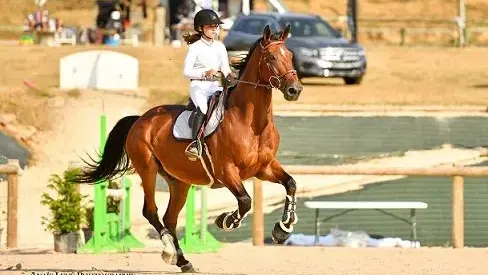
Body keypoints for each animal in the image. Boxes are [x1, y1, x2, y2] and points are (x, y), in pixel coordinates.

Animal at [74, 25, 304, 274]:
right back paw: (169, 251)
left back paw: (184, 261)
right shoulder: (227, 171)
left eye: (290, 55)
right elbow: (245, 201)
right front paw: (226, 220)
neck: (251, 123)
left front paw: (282, 229)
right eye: (271, 57)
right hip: (147, 169)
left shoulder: (264, 168)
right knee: (151, 211)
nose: (294, 90)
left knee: (170, 218)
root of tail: (140, 119)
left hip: (179, 182)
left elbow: (291, 184)